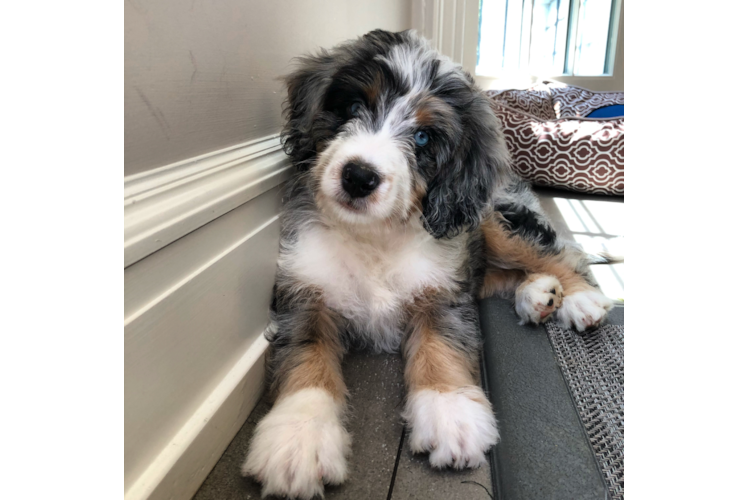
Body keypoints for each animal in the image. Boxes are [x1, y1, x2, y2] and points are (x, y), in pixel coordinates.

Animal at [243, 29, 612, 498]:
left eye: (422, 139)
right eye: (354, 107)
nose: (358, 177)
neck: (374, 236)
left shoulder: (442, 289)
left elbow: (442, 341)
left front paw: (450, 412)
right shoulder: (304, 290)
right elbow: (305, 352)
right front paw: (298, 437)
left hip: (493, 218)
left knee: (555, 251)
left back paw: (579, 299)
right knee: (498, 274)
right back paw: (538, 294)